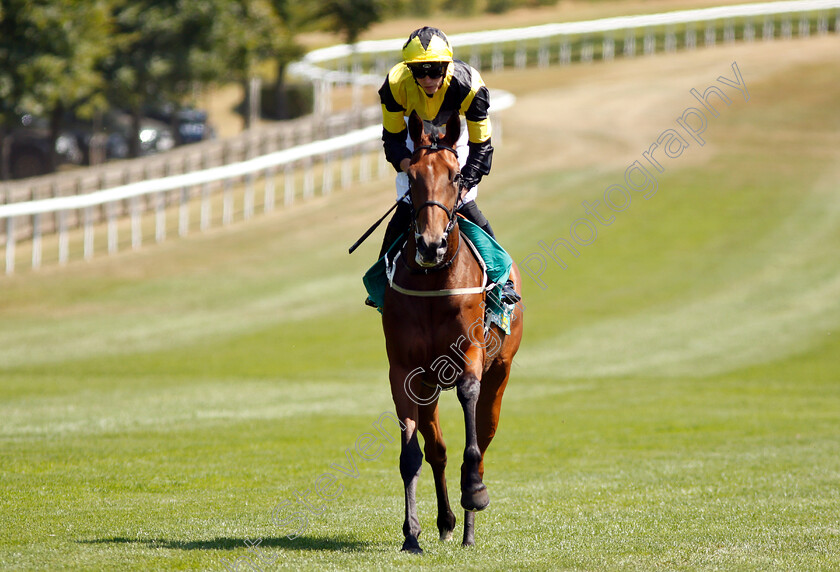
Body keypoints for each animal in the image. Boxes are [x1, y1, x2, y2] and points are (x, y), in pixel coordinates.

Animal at [382, 109, 524, 552]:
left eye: (457, 176)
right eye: (412, 177)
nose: (431, 245)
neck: (432, 284)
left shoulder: (471, 354)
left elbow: (467, 398)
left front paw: (474, 490)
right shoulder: (405, 371)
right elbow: (413, 453)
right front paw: (411, 533)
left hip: (501, 373)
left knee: (484, 434)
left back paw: (468, 527)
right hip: (429, 387)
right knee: (438, 450)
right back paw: (446, 521)